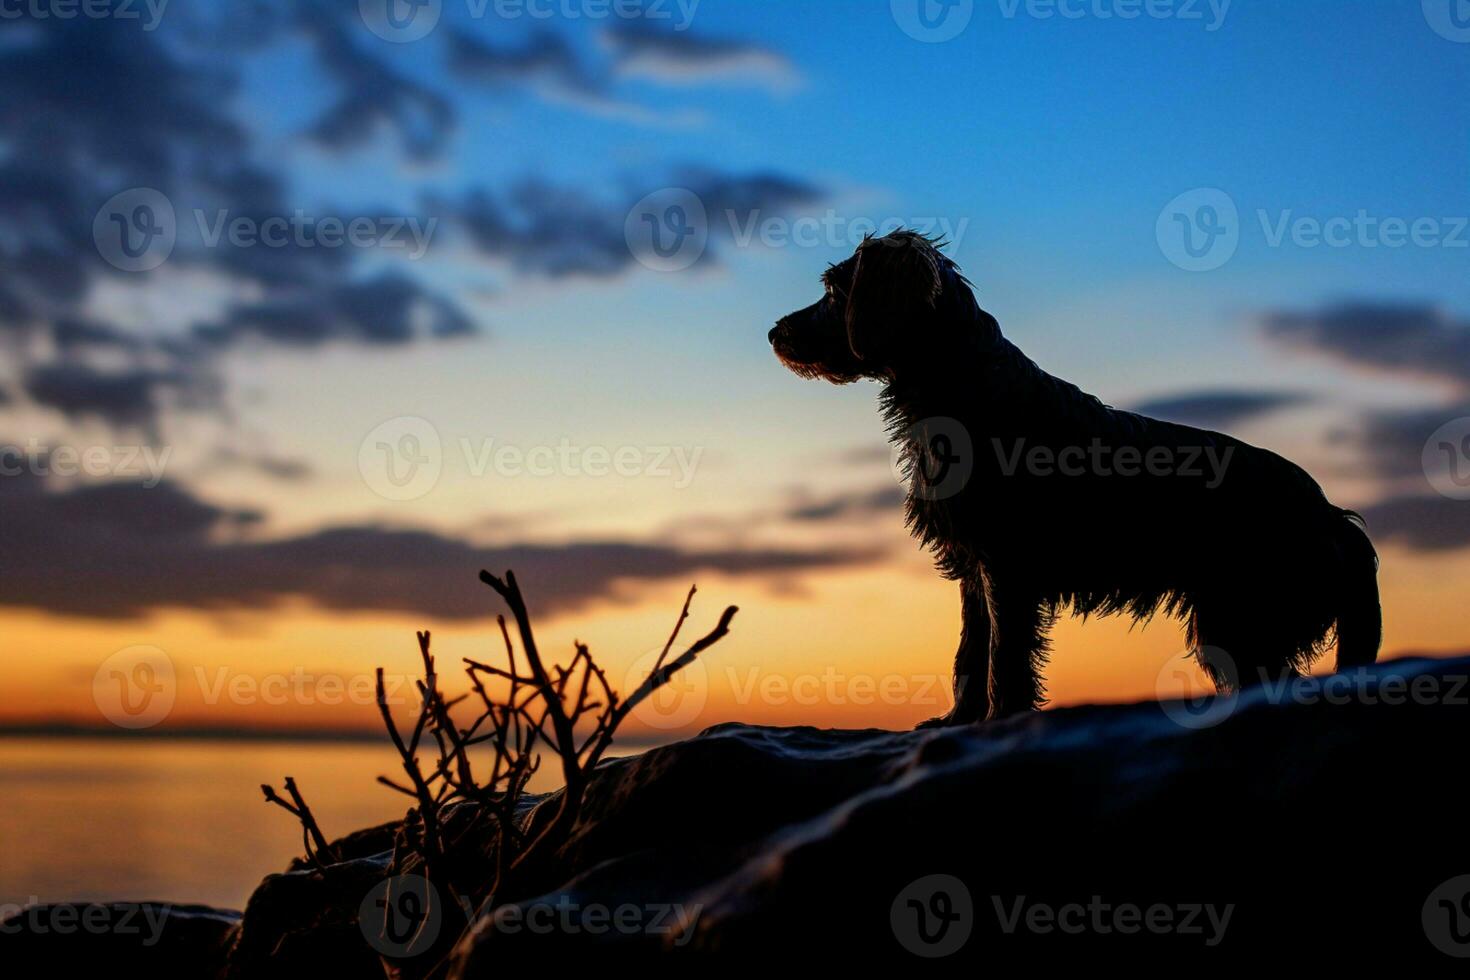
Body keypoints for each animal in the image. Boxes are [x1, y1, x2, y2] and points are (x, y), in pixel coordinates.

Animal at [770, 227, 1375, 719]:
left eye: (834, 290)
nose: (775, 333)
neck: (963, 389)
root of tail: (1332, 515)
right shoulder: (973, 567)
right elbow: (970, 652)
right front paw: (957, 723)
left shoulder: (1008, 567)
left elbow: (1004, 661)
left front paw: (997, 722)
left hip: (1245, 624)